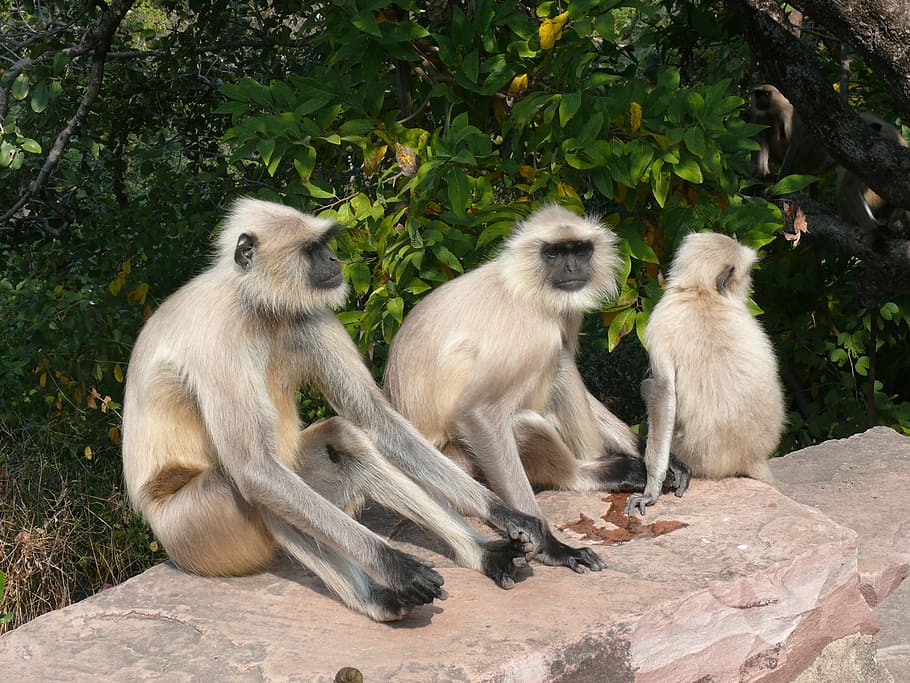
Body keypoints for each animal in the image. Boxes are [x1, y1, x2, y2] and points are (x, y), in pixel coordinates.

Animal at [122, 199, 548, 624]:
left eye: (325, 244)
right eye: (312, 249)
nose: (333, 259)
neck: (257, 306)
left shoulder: (308, 314)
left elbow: (374, 418)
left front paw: (509, 515)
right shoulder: (218, 335)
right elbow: (253, 469)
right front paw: (395, 565)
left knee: (344, 440)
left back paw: (483, 555)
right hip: (190, 532)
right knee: (249, 484)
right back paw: (379, 598)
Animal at [384, 207, 692, 572]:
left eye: (579, 250)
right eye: (554, 254)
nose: (571, 268)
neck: (525, 287)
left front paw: (656, 455)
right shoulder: (531, 330)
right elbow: (478, 415)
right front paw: (551, 546)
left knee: (561, 362)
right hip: (461, 464)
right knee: (529, 414)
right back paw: (583, 475)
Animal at [628, 232, 784, 516]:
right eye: (747, 273)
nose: (750, 287)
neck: (702, 292)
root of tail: (751, 456)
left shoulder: (659, 319)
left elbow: (663, 392)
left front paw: (650, 491)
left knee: (649, 386)